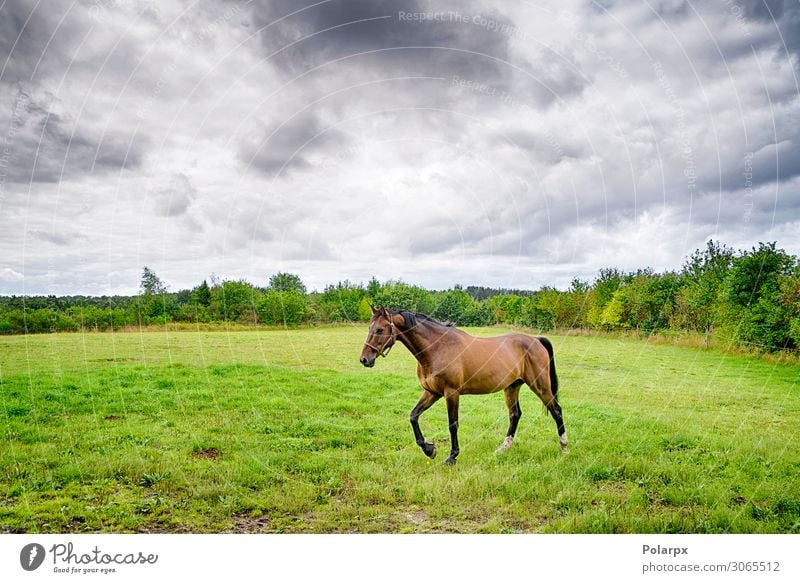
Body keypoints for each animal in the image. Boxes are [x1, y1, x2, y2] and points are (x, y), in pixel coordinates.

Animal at [360, 306, 564, 466]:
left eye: (380, 330)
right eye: (370, 327)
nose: (364, 359)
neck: (437, 348)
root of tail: (536, 340)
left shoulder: (451, 393)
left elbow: (453, 424)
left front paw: (452, 457)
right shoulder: (432, 392)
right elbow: (413, 416)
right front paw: (429, 449)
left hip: (540, 386)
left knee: (556, 410)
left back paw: (564, 448)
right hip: (512, 387)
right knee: (515, 415)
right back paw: (502, 449)